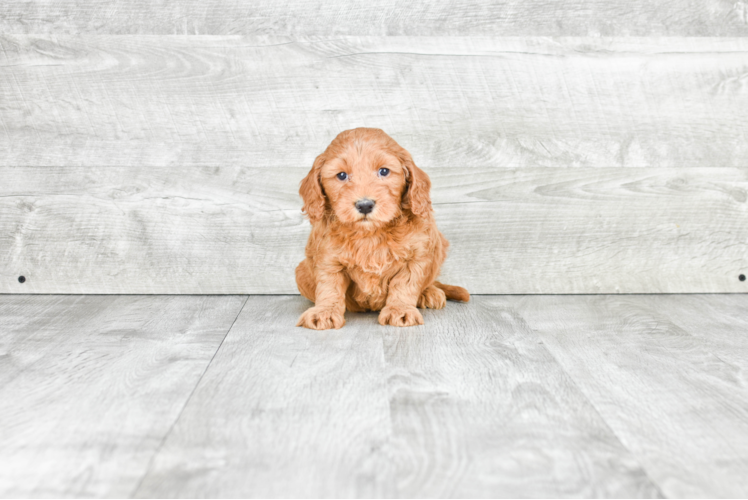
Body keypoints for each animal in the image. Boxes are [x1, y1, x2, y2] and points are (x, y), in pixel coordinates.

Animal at [296, 127, 468, 330]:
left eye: (384, 171)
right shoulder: (328, 258)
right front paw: (324, 311)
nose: (364, 205)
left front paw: (400, 310)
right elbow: (329, 287)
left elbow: (404, 284)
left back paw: (429, 293)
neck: (371, 233)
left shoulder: (417, 254)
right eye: (341, 175)